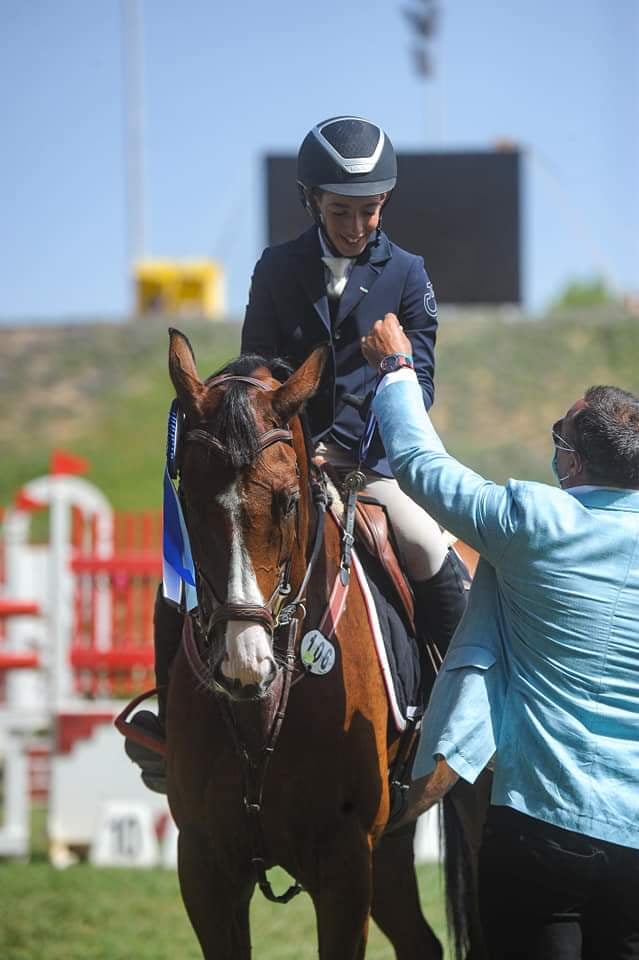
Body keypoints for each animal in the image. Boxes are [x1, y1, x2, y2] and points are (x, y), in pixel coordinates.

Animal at [162, 328, 478, 952]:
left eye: (287, 500)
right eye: (188, 499)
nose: (244, 665)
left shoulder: (344, 865)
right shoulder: (204, 866)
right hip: (392, 842)